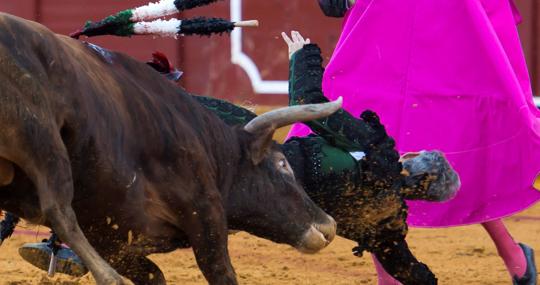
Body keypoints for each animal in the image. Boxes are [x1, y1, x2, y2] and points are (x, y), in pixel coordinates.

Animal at [0, 13, 338, 284]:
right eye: (283, 165)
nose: (329, 226)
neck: (213, 152)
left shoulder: (111, 236)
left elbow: (153, 274)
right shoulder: (205, 212)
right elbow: (221, 271)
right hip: (42, 138)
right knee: (58, 208)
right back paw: (108, 277)